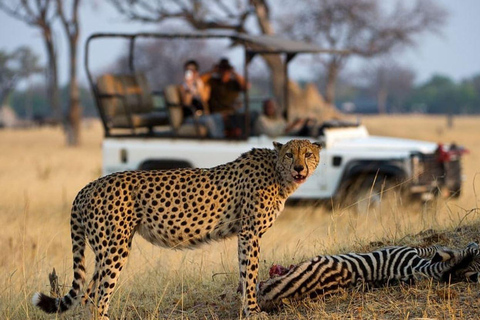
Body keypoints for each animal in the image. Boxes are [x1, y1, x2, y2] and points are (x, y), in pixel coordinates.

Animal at [33, 139, 322, 318]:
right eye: (289, 154)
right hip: (114, 249)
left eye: (308, 154)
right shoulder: (249, 233)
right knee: (100, 297)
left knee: (88, 296)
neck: (278, 172)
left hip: (105, 250)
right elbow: (249, 272)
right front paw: (253, 310)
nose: (299, 167)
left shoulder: (246, 234)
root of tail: (87, 186)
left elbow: (244, 272)